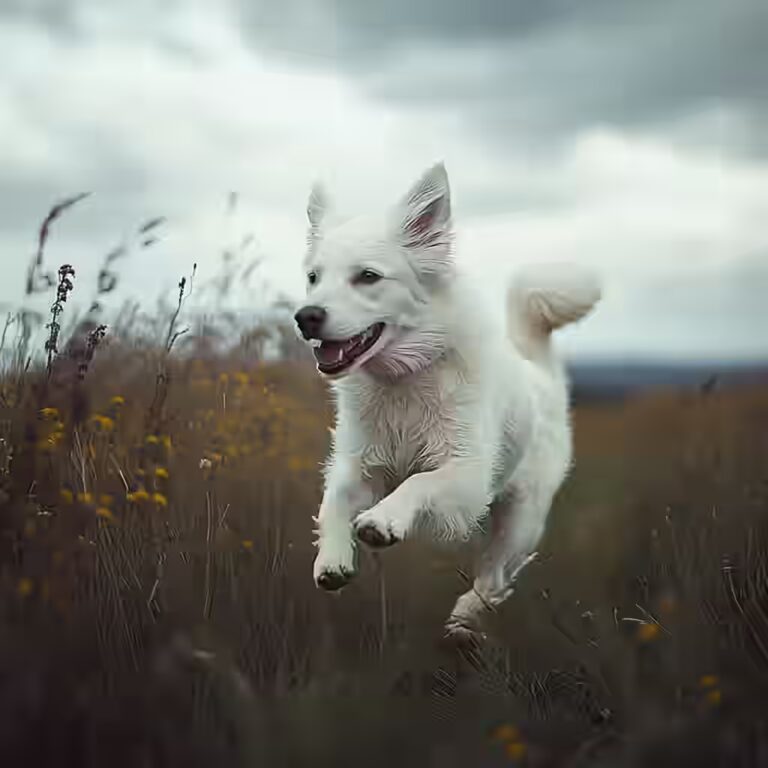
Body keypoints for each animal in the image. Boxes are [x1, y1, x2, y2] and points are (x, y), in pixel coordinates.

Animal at [294, 162, 600, 636]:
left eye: (368, 276)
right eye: (313, 278)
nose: (305, 317)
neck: (403, 382)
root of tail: (539, 371)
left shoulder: (466, 476)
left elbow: (420, 482)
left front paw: (382, 521)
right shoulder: (358, 463)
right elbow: (334, 503)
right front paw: (332, 560)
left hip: (522, 518)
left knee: (495, 577)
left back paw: (463, 622)